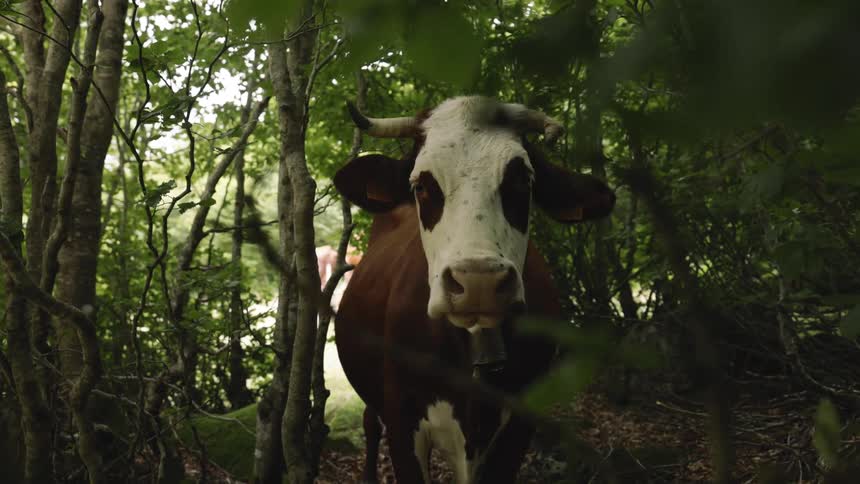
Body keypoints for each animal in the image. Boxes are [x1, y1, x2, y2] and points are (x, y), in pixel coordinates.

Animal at [333, 96, 615, 483]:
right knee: (369, 423)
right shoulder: (403, 420)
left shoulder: (519, 426)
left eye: (523, 180)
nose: (478, 280)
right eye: (421, 185)